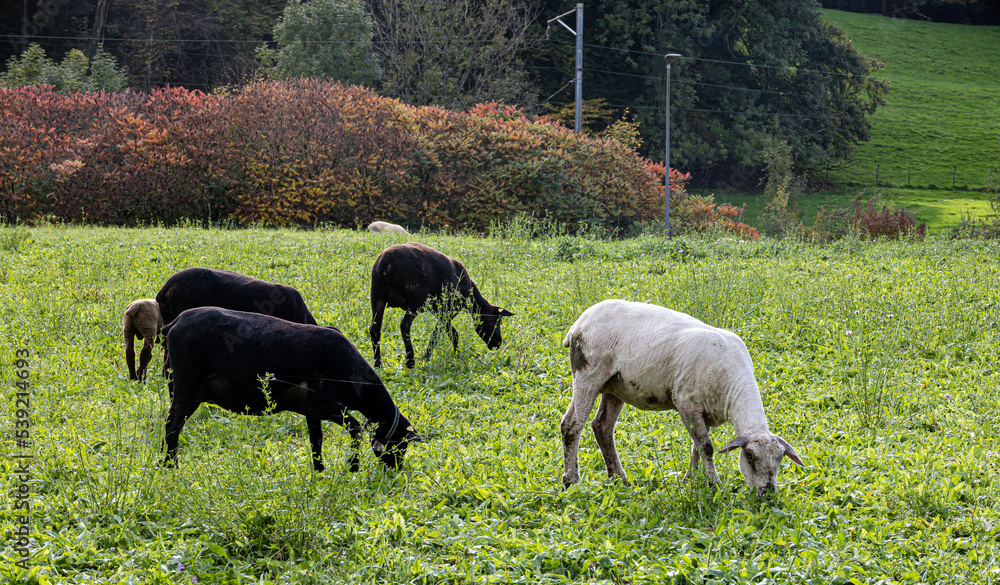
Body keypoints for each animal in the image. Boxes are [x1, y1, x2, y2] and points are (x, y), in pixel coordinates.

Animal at [161, 307, 423, 472]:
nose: (395, 469)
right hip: (185, 385)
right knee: (172, 427)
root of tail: (174, 323)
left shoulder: (311, 410)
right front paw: (352, 467)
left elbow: (317, 441)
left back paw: (164, 463)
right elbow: (355, 427)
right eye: (401, 445)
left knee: (172, 425)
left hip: (187, 391)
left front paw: (319, 472)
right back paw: (171, 467)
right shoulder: (321, 403)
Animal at [369, 242, 514, 368]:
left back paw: (378, 363)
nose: (498, 343)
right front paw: (427, 358)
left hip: (377, 296)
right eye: (497, 321)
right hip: (416, 298)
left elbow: (452, 333)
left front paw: (456, 355)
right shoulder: (448, 311)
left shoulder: (440, 312)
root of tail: (386, 258)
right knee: (404, 325)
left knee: (374, 328)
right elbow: (439, 335)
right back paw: (410, 362)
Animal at [560, 299, 803, 497]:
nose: (768, 494)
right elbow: (706, 446)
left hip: (614, 387)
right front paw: (714, 485)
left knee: (602, 426)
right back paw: (571, 481)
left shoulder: (706, 410)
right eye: (750, 456)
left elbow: (697, 445)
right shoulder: (686, 403)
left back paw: (619, 479)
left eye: (781, 458)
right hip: (587, 373)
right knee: (571, 425)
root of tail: (578, 323)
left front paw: (691, 479)